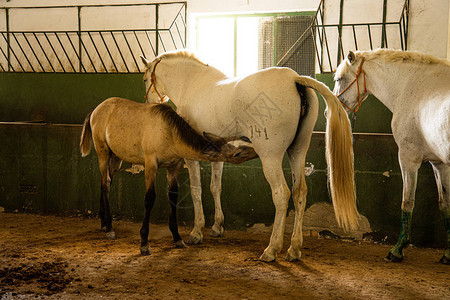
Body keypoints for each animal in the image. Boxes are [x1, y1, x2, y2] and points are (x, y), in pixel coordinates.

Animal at [141, 50, 358, 262]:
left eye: (144, 78)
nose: (149, 103)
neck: (192, 83)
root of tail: (295, 79)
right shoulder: (217, 154)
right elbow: (215, 187)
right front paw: (217, 227)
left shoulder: (191, 156)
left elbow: (196, 190)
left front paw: (196, 232)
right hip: (297, 151)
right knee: (299, 193)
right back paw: (294, 249)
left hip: (270, 158)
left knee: (281, 194)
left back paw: (271, 250)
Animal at [334, 49, 450, 264]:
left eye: (339, 78)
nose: (330, 110)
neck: (412, 86)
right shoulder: (440, 164)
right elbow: (445, 205)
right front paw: (447, 254)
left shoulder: (408, 158)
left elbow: (407, 202)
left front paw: (397, 250)